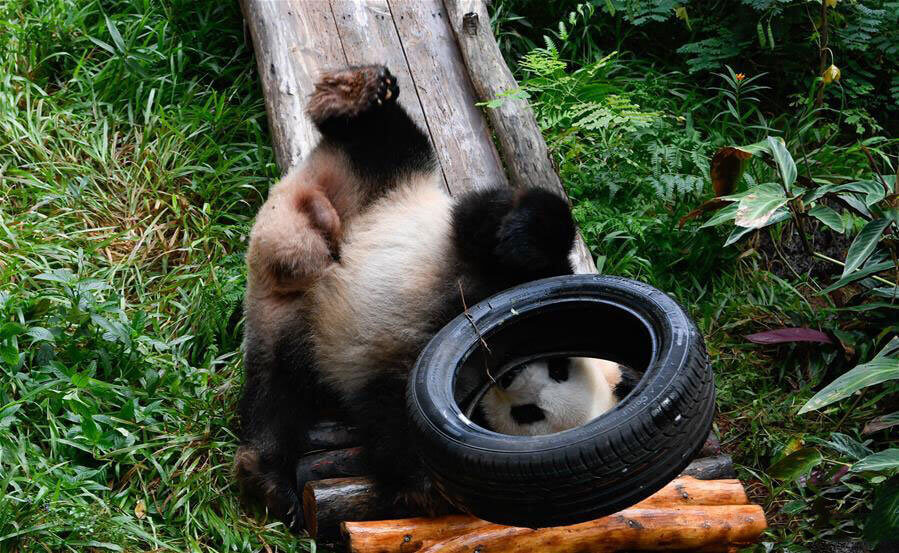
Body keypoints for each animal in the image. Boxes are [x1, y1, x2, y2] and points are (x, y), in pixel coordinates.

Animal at [237, 66, 632, 532]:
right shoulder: (500, 260)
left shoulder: (399, 376)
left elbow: (395, 419)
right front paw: (518, 239)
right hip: (382, 187)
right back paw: (354, 95)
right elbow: (507, 220)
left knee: (277, 393)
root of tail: (294, 233)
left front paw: (422, 489)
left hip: (290, 326)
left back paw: (268, 478)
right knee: (390, 142)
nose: (509, 376)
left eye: (531, 414)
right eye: (558, 366)